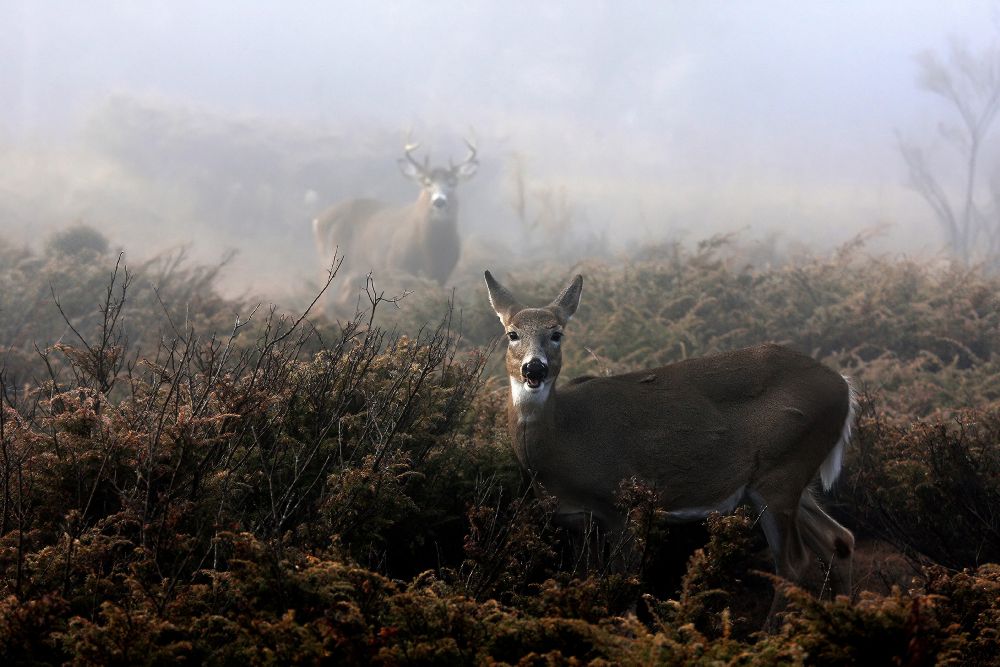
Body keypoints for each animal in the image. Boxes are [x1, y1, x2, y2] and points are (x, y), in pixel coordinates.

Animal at [316, 139, 480, 310]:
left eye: (452, 183)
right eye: (427, 183)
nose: (439, 201)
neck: (430, 252)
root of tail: (319, 219)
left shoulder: (442, 274)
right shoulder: (396, 267)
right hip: (331, 258)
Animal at [484, 268, 860, 620]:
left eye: (557, 333)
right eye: (512, 334)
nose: (534, 368)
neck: (565, 441)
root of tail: (844, 386)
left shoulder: (625, 504)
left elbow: (626, 588)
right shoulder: (575, 520)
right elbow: (583, 580)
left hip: (782, 472)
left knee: (795, 562)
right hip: (783, 478)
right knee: (839, 539)